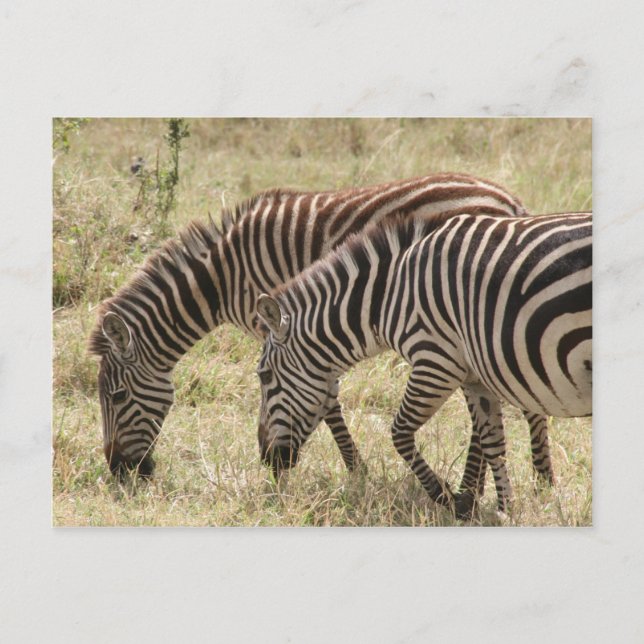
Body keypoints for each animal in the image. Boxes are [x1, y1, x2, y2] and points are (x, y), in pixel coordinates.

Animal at [88, 172, 552, 489]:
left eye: (117, 397)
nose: (120, 471)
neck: (222, 278)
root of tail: (509, 201)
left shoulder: (285, 322)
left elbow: (322, 398)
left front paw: (355, 469)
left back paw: (495, 485)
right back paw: (531, 480)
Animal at [255, 211, 592, 518]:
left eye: (264, 376)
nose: (267, 459)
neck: (386, 297)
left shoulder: (436, 360)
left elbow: (399, 432)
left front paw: (448, 498)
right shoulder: (474, 376)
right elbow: (494, 441)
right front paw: (505, 509)